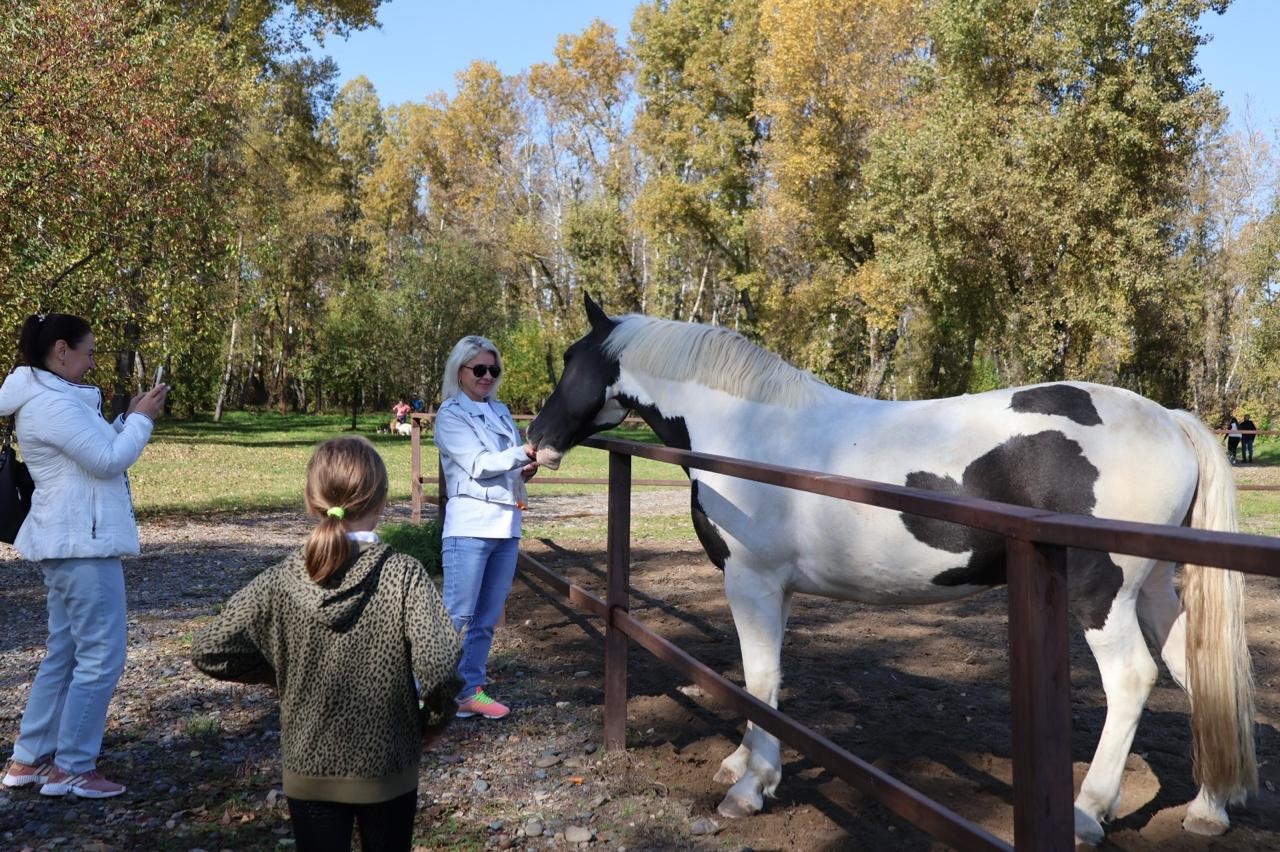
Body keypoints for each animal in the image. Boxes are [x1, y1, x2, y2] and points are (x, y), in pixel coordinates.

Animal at [524, 295, 1254, 839]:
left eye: (572, 359)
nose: (536, 442)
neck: (749, 435)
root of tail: (1169, 420)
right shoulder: (775, 589)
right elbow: (766, 678)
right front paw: (740, 763)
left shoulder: (751, 580)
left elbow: (758, 678)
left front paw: (752, 787)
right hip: (1153, 589)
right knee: (1195, 672)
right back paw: (1208, 809)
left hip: (1101, 594)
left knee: (1131, 679)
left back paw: (1086, 811)